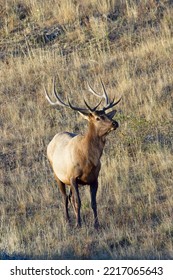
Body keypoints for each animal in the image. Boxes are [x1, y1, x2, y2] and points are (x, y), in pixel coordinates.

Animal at [44, 78, 120, 228]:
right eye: (97, 118)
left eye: (106, 114)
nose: (115, 123)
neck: (88, 160)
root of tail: (53, 139)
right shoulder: (73, 177)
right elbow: (78, 202)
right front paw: (78, 224)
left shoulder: (94, 179)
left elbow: (93, 203)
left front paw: (96, 224)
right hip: (58, 175)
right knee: (65, 197)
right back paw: (68, 221)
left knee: (69, 197)